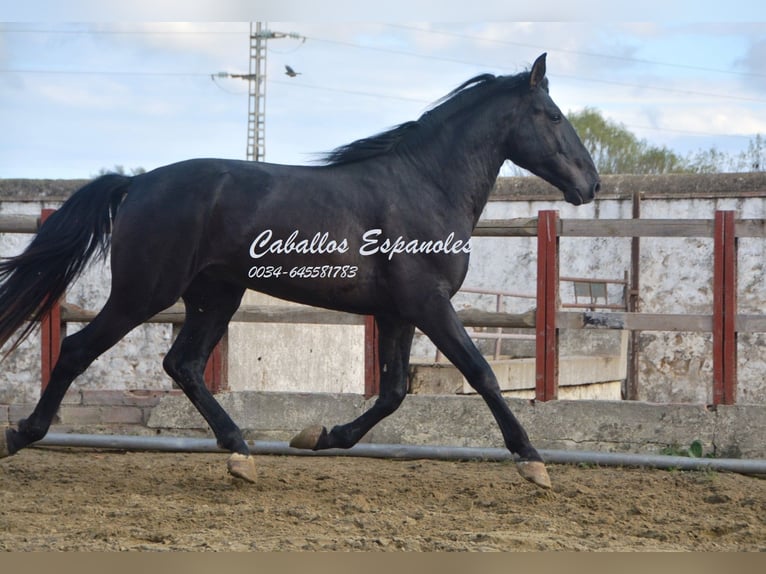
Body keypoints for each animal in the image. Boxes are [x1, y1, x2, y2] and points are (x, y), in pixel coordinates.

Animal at [0, 55, 600, 490]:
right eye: (553, 116)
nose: (591, 184)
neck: (424, 186)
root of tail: (137, 184)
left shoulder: (399, 312)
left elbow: (392, 392)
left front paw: (318, 436)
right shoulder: (429, 304)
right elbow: (482, 374)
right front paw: (533, 462)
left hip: (214, 297)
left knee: (183, 365)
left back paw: (241, 455)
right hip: (143, 293)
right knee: (79, 350)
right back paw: (21, 434)